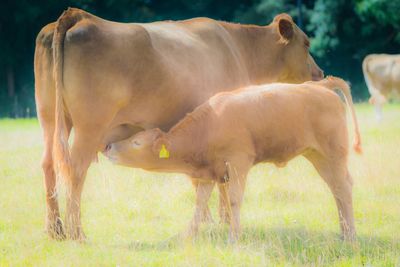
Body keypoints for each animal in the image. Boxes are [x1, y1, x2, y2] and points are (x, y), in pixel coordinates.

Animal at [104, 76, 362, 242]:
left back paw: (350, 235)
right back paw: (343, 231)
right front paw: (187, 235)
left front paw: (233, 237)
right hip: (318, 156)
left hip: (333, 153)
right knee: (336, 188)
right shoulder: (209, 173)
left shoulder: (238, 163)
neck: (209, 126)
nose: (108, 146)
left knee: (344, 187)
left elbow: (234, 200)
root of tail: (319, 85)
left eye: (137, 143)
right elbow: (200, 203)